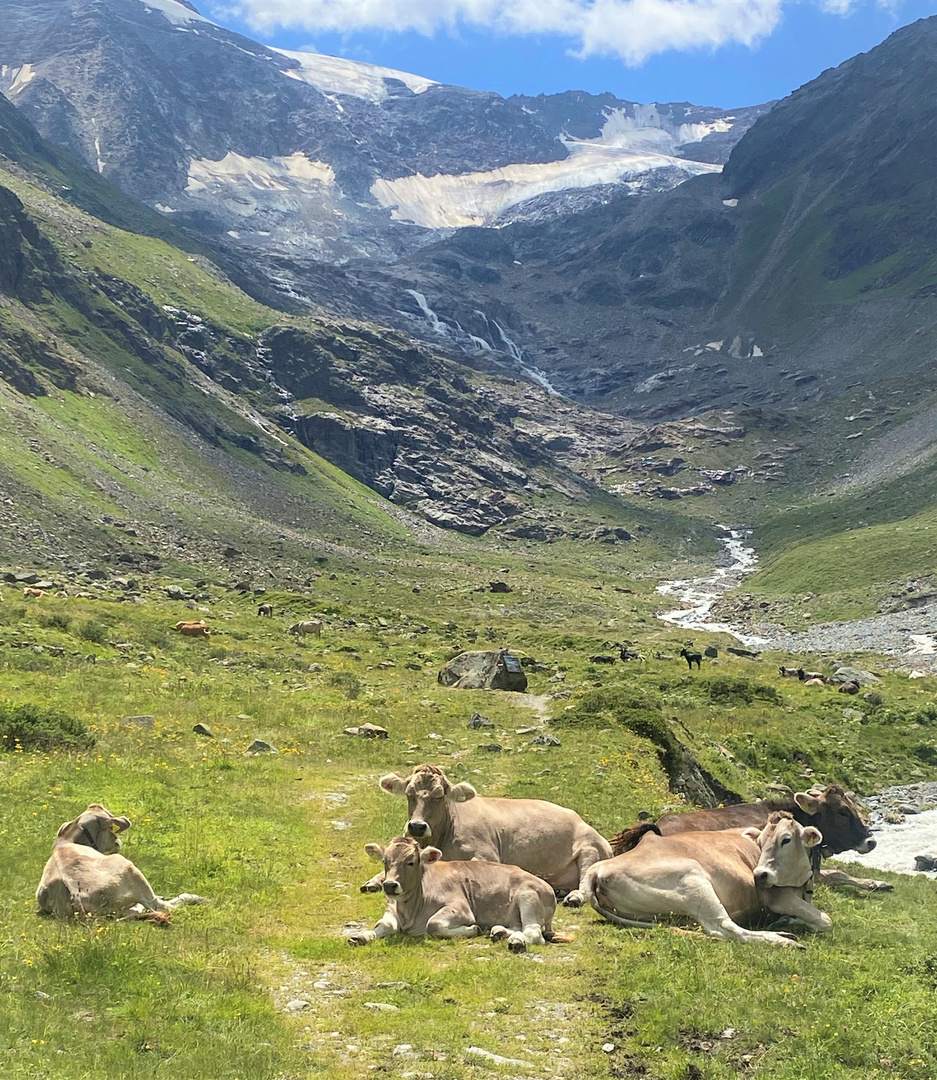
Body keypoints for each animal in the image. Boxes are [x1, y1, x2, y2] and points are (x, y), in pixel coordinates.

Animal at [38, 803, 205, 920]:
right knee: (161, 905)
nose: (118, 842)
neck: (66, 840)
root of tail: (75, 894)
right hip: (129, 867)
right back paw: (196, 898)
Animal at [347, 833, 565, 954]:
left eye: (411, 861)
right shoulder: (391, 911)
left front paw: (473, 929)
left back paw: (516, 941)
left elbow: (433, 924)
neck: (410, 912)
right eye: (385, 861)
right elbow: (382, 925)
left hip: (528, 898)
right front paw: (361, 936)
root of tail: (548, 888)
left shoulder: (460, 907)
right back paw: (500, 932)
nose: (390, 885)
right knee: (517, 927)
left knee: (533, 932)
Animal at [582, 812, 829, 950]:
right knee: (724, 928)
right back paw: (783, 940)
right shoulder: (778, 897)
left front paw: (790, 922)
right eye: (760, 842)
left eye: (786, 839)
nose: (759, 875)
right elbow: (827, 921)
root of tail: (599, 869)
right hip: (694, 879)